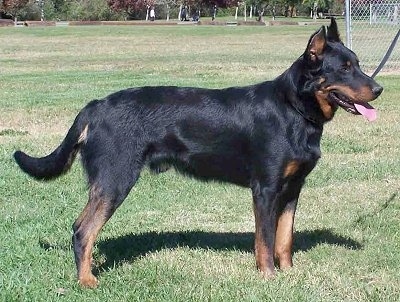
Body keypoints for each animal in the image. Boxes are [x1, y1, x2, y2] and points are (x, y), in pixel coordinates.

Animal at [14, 18, 384, 288]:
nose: (379, 88)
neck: (293, 109)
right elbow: (264, 240)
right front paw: (268, 277)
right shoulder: (265, 190)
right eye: (344, 68)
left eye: (358, 64)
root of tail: (93, 106)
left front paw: (290, 274)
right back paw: (87, 280)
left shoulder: (292, 189)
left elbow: (284, 239)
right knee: (83, 231)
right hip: (115, 179)